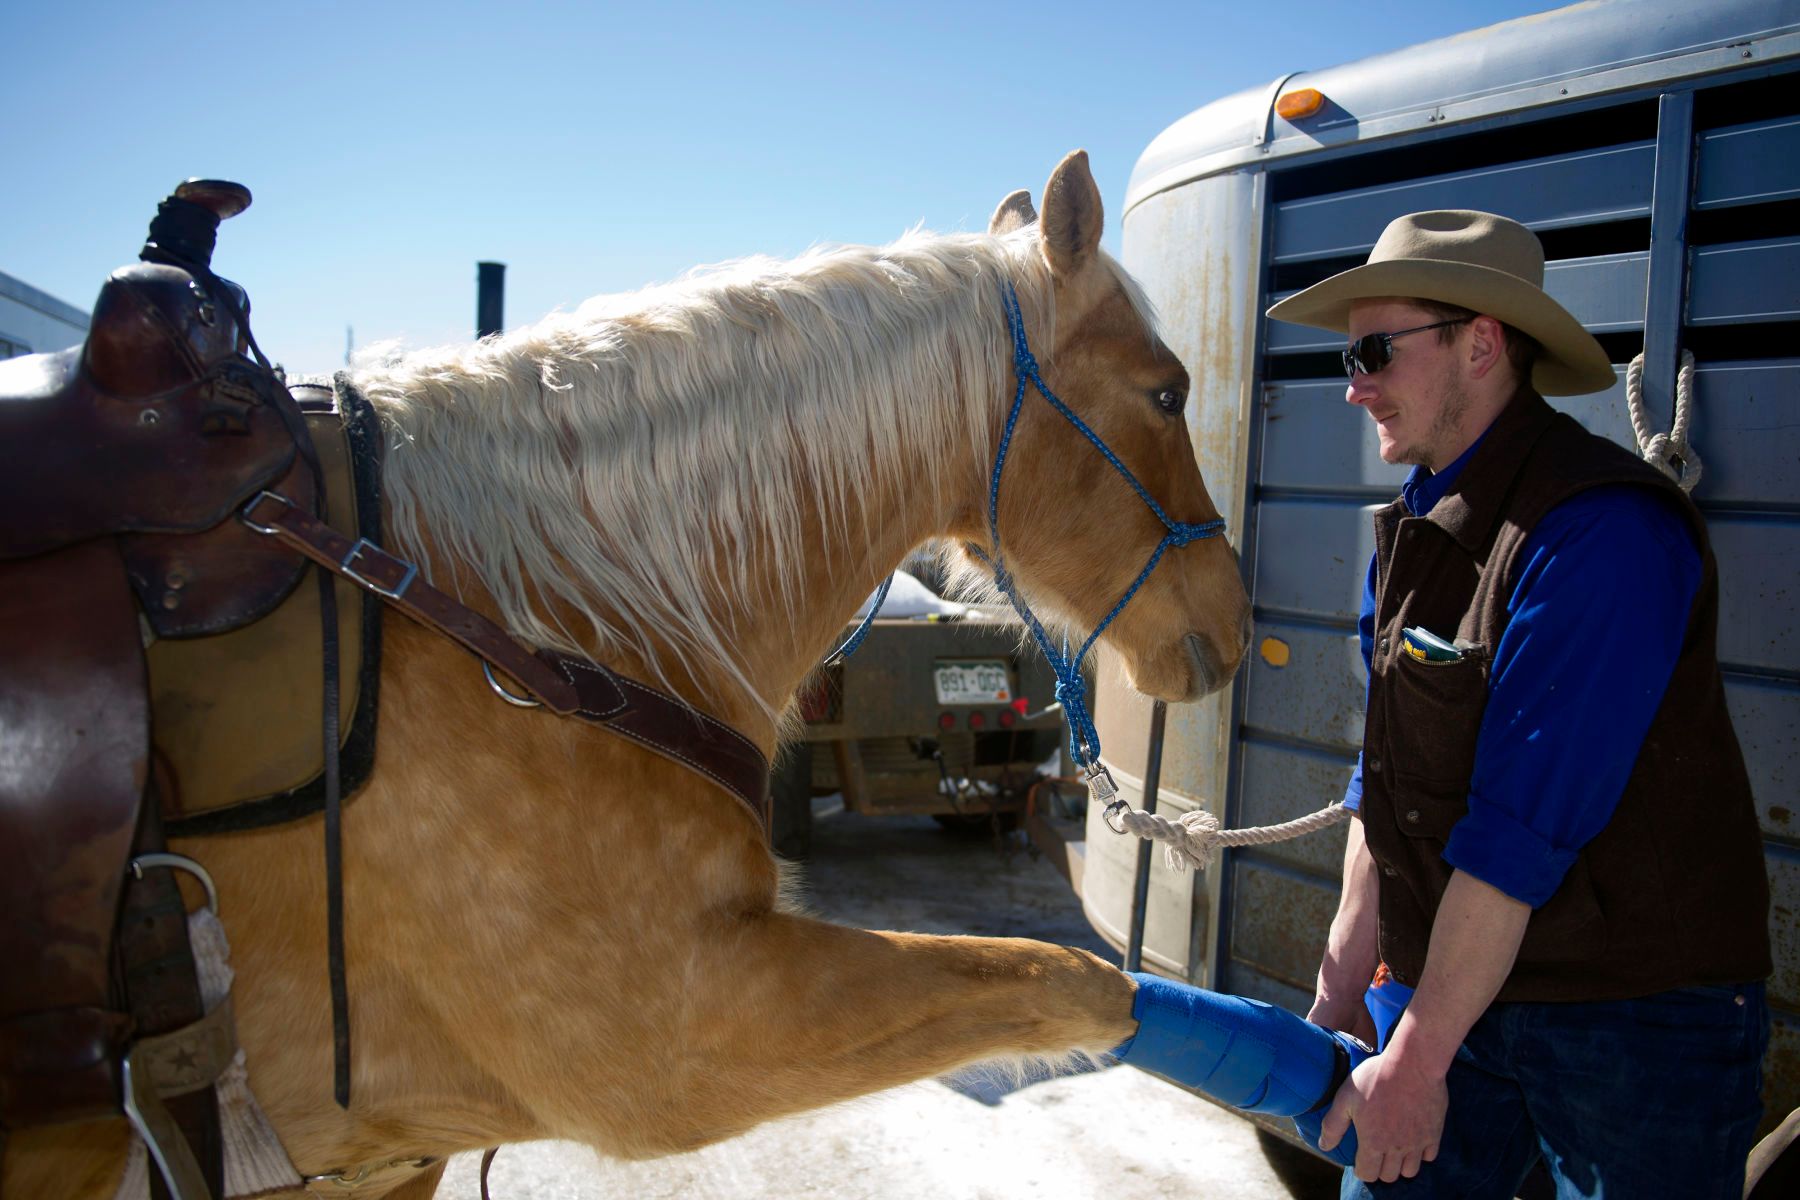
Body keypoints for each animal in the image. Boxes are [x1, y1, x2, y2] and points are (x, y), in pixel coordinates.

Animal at [10, 152, 1252, 1200]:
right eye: (1168, 391)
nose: (1236, 619)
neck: (524, 615)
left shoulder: (379, 1155)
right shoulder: (685, 1044)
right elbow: (1071, 979)